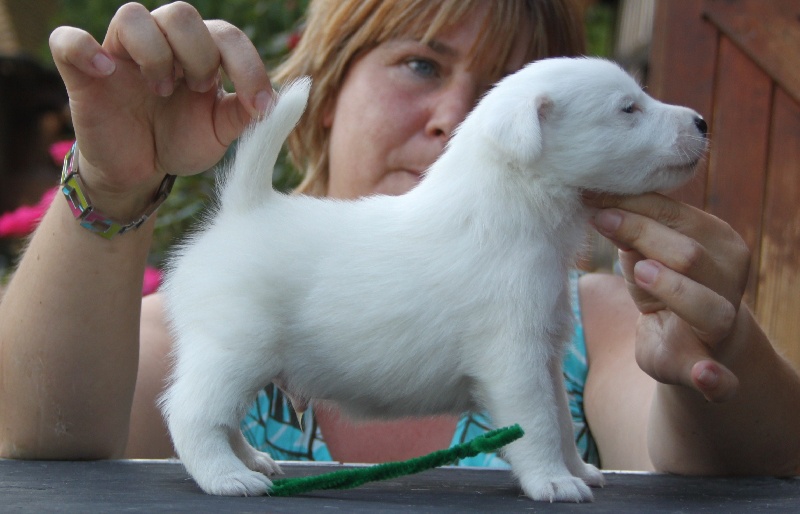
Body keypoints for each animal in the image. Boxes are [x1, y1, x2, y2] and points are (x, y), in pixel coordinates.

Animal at [161, 57, 708, 500]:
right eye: (628, 109)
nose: (703, 122)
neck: (510, 210)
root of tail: (243, 209)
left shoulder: (545, 355)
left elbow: (560, 417)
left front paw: (577, 470)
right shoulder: (514, 360)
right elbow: (539, 424)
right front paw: (553, 481)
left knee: (222, 418)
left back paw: (252, 459)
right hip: (234, 350)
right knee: (191, 414)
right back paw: (227, 476)